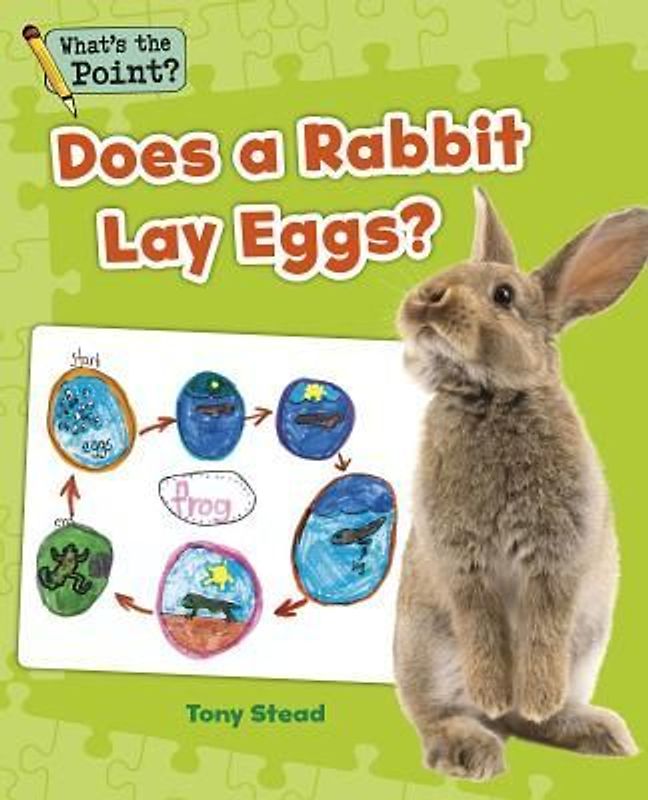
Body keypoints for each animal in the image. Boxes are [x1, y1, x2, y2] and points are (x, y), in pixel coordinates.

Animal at [394, 187, 647, 781]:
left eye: (503, 295)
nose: (426, 298)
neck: (491, 397)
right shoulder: (462, 561)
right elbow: (482, 624)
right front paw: (493, 691)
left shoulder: (558, 558)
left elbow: (544, 629)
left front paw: (535, 697)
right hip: (426, 647)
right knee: (441, 714)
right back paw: (474, 746)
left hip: (585, 644)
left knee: (528, 720)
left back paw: (590, 730)